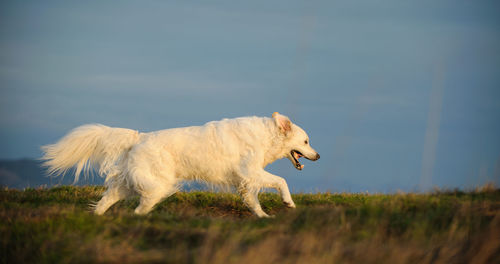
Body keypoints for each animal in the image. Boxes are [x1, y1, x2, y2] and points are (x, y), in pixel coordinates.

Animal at [41, 111, 318, 217]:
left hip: (131, 183)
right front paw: (288, 202)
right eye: (306, 141)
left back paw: (98, 216)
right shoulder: (250, 171)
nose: (317, 156)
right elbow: (281, 181)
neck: (265, 136)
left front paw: (263, 217)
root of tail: (140, 136)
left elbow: (253, 201)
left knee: (108, 199)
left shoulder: (246, 180)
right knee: (140, 208)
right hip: (158, 184)